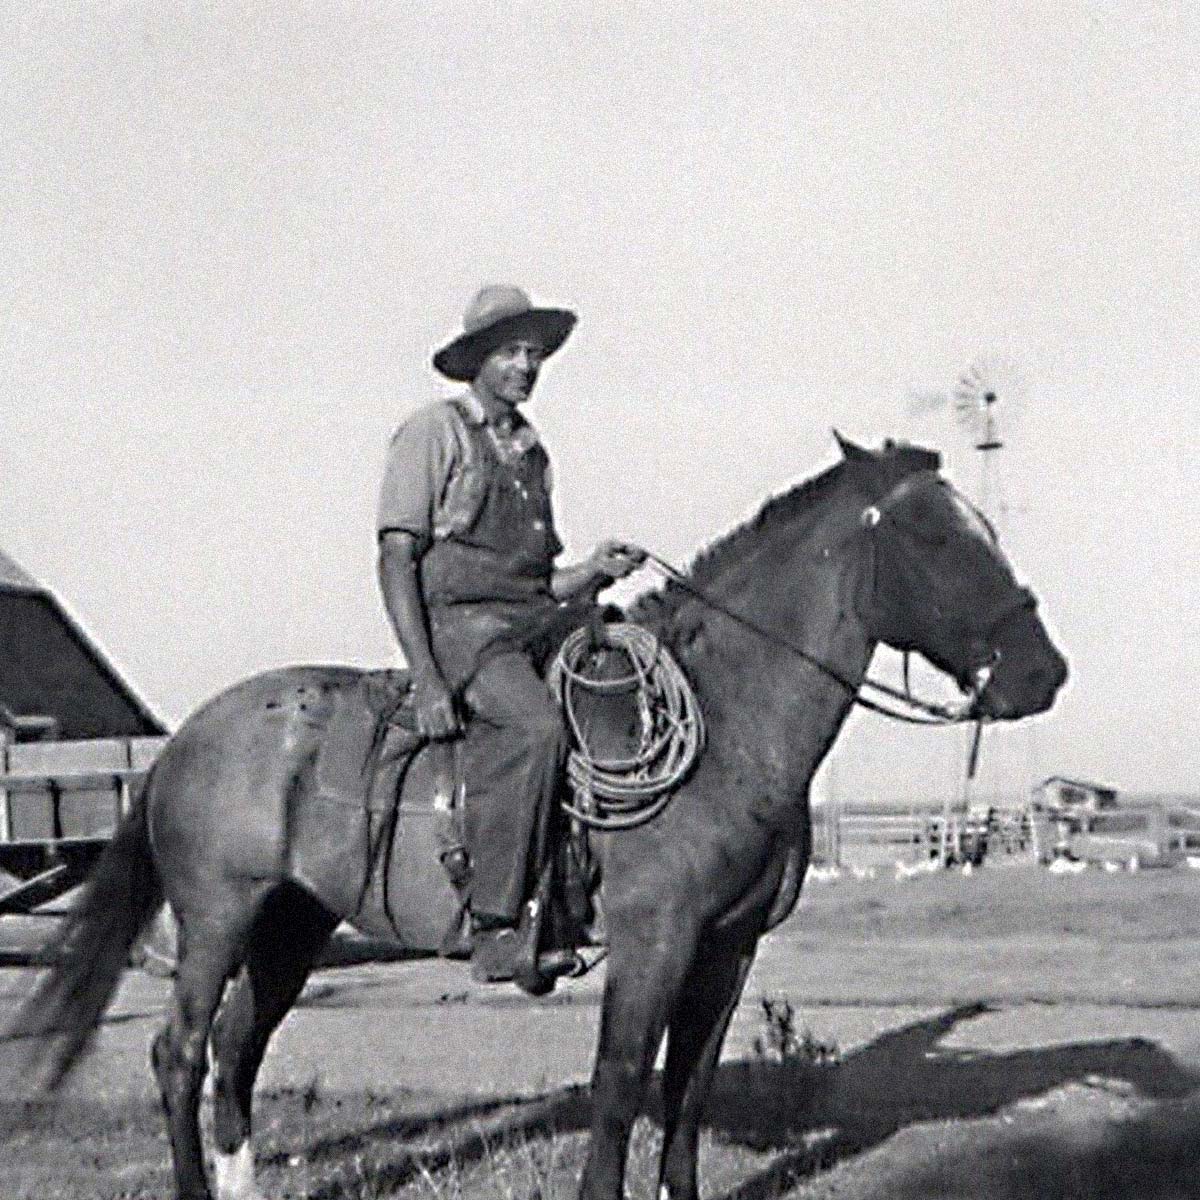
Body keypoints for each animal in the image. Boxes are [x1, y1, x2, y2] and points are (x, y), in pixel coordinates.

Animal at [4, 436, 1065, 1200]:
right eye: (937, 539)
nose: (1042, 673)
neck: (728, 717)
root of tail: (184, 736)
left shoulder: (728, 947)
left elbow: (686, 1090)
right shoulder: (654, 939)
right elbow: (620, 1085)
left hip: (290, 926)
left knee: (235, 1052)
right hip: (217, 918)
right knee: (180, 1053)